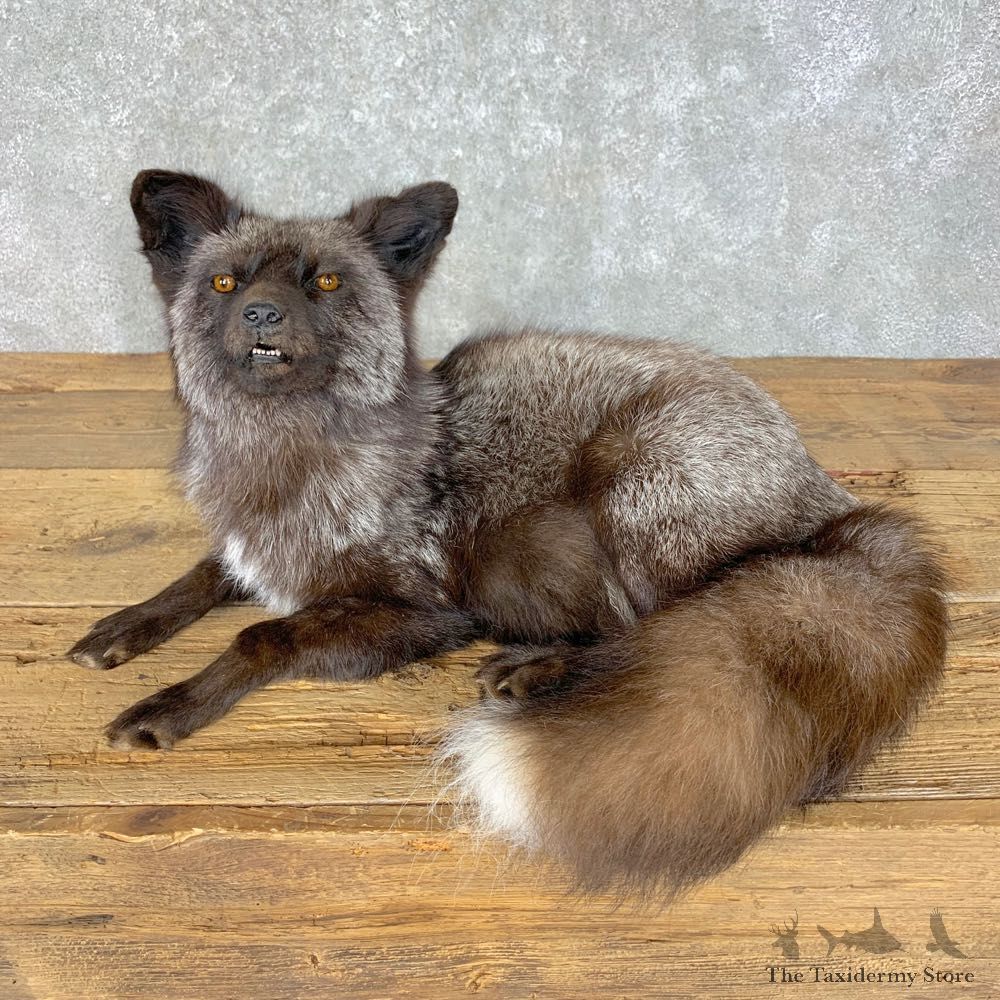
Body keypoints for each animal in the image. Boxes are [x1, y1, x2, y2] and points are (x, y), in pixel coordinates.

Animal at [68, 169, 947, 897]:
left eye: (325, 281)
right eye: (226, 281)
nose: (261, 314)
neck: (285, 459)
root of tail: (837, 508)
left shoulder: (422, 612)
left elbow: (259, 637)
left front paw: (169, 704)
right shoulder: (256, 550)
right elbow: (202, 573)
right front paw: (122, 627)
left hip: (631, 493)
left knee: (651, 627)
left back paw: (536, 668)